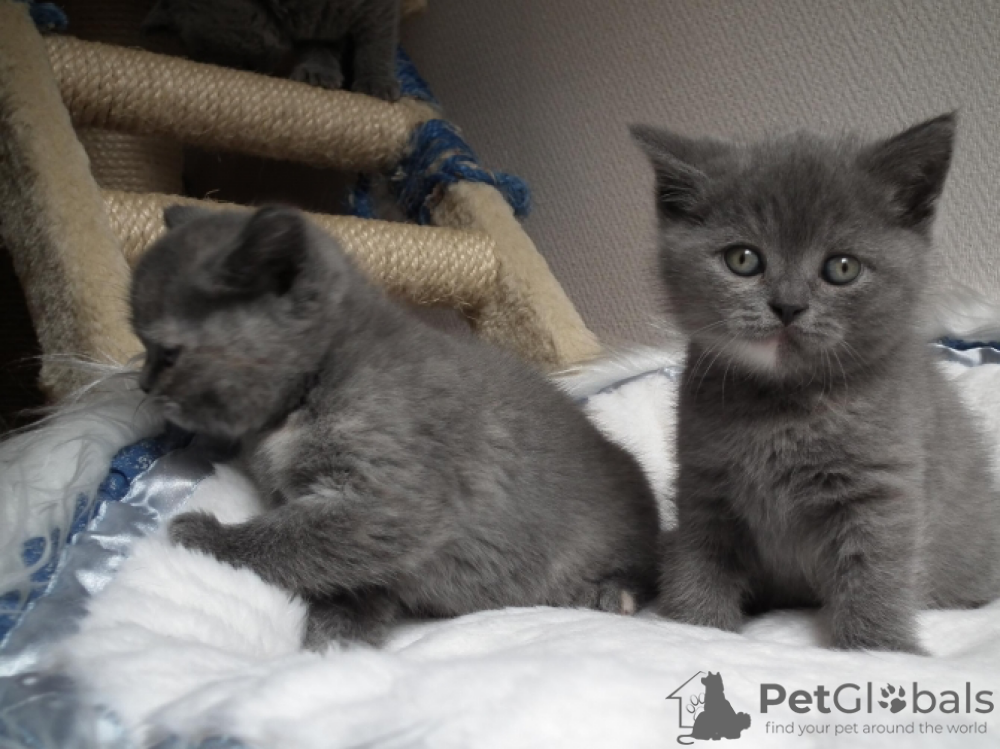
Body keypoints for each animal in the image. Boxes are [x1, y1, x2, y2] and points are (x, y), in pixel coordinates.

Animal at [130, 204, 660, 646]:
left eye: (168, 353)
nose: (142, 384)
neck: (322, 374)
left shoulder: (391, 499)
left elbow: (292, 539)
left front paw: (210, 537)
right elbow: (348, 569)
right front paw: (341, 628)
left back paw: (610, 593)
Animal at [142, 0, 402, 100]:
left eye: (244, 62)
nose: (253, 70)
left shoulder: (378, 9)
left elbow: (377, 44)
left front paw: (376, 84)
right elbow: (318, 47)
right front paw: (319, 73)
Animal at [632, 112, 1000, 654]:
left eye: (842, 267)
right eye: (743, 259)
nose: (787, 305)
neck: (782, 406)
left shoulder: (880, 488)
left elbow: (875, 571)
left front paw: (879, 649)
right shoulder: (704, 485)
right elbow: (700, 557)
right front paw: (694, 626)